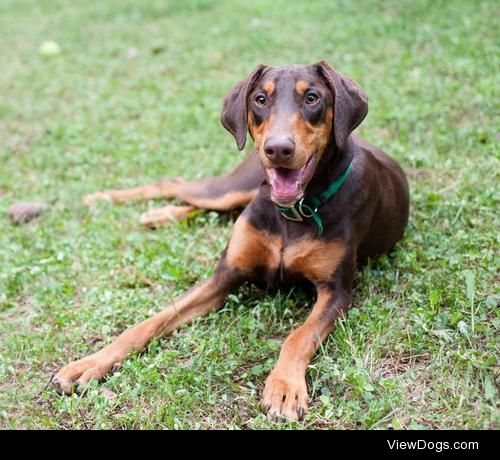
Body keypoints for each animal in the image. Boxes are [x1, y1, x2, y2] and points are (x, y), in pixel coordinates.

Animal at [51, 61, 410, 420]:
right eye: (261, 99)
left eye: (312, 97)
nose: (278, 149)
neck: (292, 214)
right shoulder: (225, 275)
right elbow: (150, 322)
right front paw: (89, 363)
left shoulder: (336, 292)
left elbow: (299, 335)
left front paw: (284, 388)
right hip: (234, 186)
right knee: (177, 184)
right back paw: (105, 199)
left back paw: (156, 214)